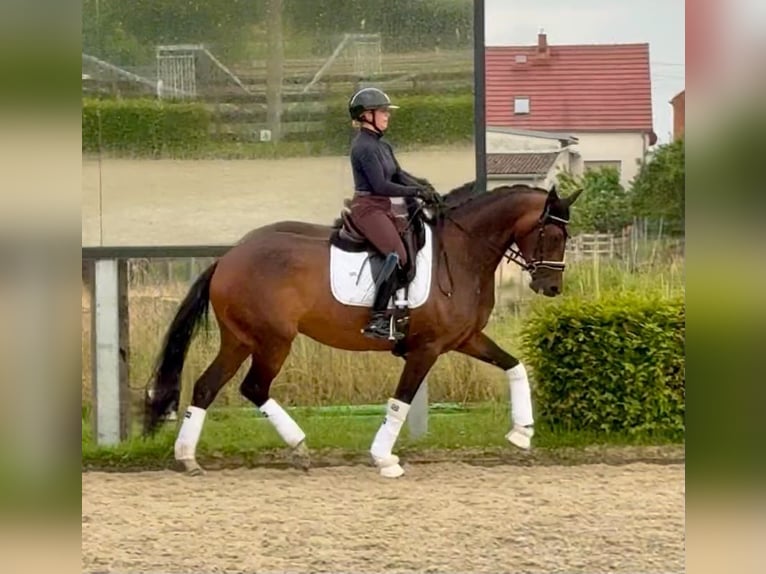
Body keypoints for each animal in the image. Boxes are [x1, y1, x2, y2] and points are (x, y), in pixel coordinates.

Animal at [143, 180, 582, 478]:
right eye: (552, 234)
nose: (551, 287)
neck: (460, 253)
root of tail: (229, 257)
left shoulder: (465, 339)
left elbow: (515, 365)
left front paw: (522, 433)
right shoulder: (426, 349)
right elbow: (400, 402)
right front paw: (385, 458)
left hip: (240, 339)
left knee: (206, 386)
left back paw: (188, 456)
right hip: (273, 340)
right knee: (253, 387)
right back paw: (298, 445)